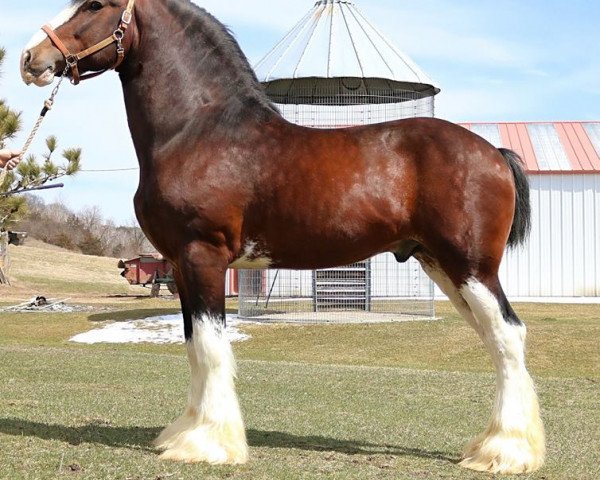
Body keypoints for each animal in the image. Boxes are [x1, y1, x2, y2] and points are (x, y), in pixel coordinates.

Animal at [19, 0, 544, 472]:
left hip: (471, 268)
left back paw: (505, 453)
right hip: (443, 266)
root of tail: (494, 153)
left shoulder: (202, 256)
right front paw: (187, 433)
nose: (29, 58)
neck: (198, 132)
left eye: (95, 4)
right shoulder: (182, 268)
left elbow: (210, 346)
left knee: (508, 335)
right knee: (496, 339)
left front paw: (209, 445)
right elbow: (193, 346)